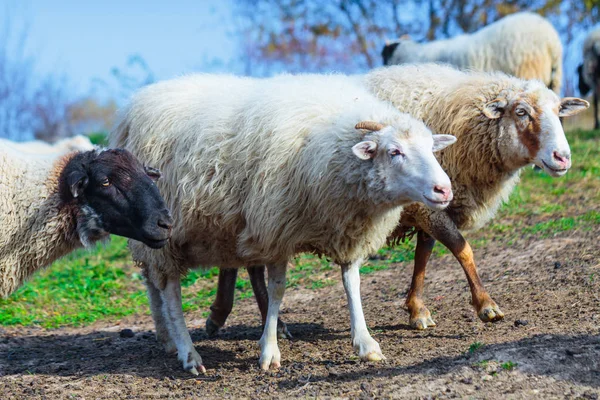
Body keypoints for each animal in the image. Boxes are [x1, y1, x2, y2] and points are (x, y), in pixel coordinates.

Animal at [110, 72, 458, 376]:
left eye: (431, 149)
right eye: (394, 151)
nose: (444, 189)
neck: (327, 146)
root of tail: (132, 107)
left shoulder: (346, 227)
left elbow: (352, 284)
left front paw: (365, 343)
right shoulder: (275, 227)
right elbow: (277, 290)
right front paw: (269, 351)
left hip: (151, 235)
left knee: (153, 283)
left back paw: (166, 339)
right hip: (164, 231)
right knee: (171, 291)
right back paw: (187, 352)